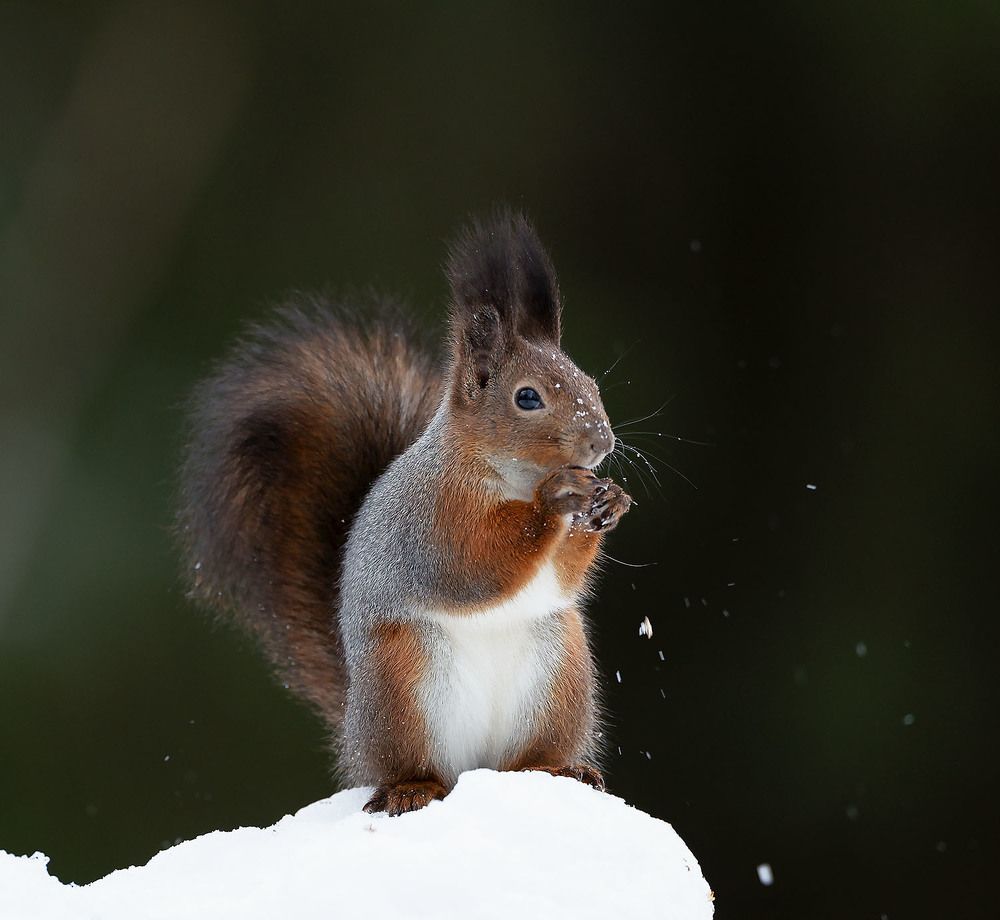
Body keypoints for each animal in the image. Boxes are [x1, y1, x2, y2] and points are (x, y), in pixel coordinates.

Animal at [179, 210, 632, 816]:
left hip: (560, 673)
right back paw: (412, 788)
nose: (601, 442)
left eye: (591, 382)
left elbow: (562, 575)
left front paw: (611, 502)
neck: (511, 477)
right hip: (403, 680)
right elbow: (474, 566)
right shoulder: (431, 520)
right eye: (528, 397)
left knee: (526, 759)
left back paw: (560, 769)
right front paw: (556, 499)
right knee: (411, 765)